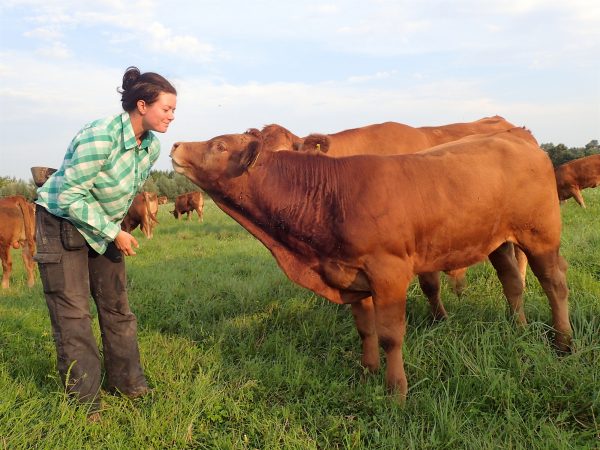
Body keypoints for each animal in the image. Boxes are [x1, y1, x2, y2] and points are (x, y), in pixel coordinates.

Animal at [171, 128, 576, 402]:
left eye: (220, 145)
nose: (175, 145)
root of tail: (521, 141)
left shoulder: (389, 272)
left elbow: (390, 334)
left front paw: (396, 390)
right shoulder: (351, 274)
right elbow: (365, 329)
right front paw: (367, 372)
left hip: (540, 234)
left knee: (554, 283)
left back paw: (563, 342)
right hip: (497, 239)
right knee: (512, 281)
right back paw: (517, 327)